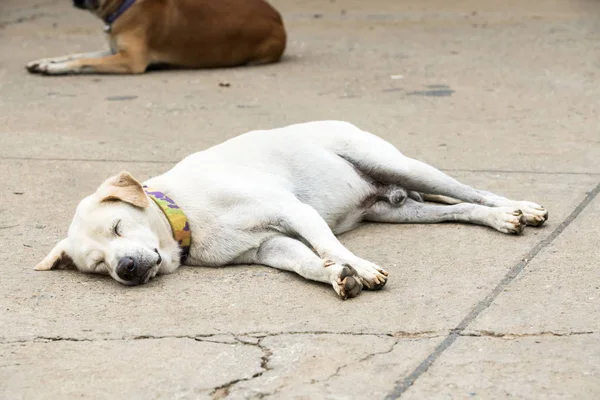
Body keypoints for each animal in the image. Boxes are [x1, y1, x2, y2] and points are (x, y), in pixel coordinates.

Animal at [27, 0, 288, 75]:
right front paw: (44, 62)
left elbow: (85, 61)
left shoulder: (131, 60)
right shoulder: (115, 50)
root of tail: (279, 18)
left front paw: (54, 68)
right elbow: (77, 54)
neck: (125, 5)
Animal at [32, 120, 548, 298]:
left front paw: (359, 266)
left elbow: (328, 245)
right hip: (398, 210)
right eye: (98, 266)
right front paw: (338, 277)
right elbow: (307, 263)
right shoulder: (269, 247)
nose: (126, 269)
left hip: (400, 164)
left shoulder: (293, 212)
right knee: (458, 209)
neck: (189, 216)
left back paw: (515, 208)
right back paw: (496, 219)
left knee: (474, 192)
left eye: (119, 226)